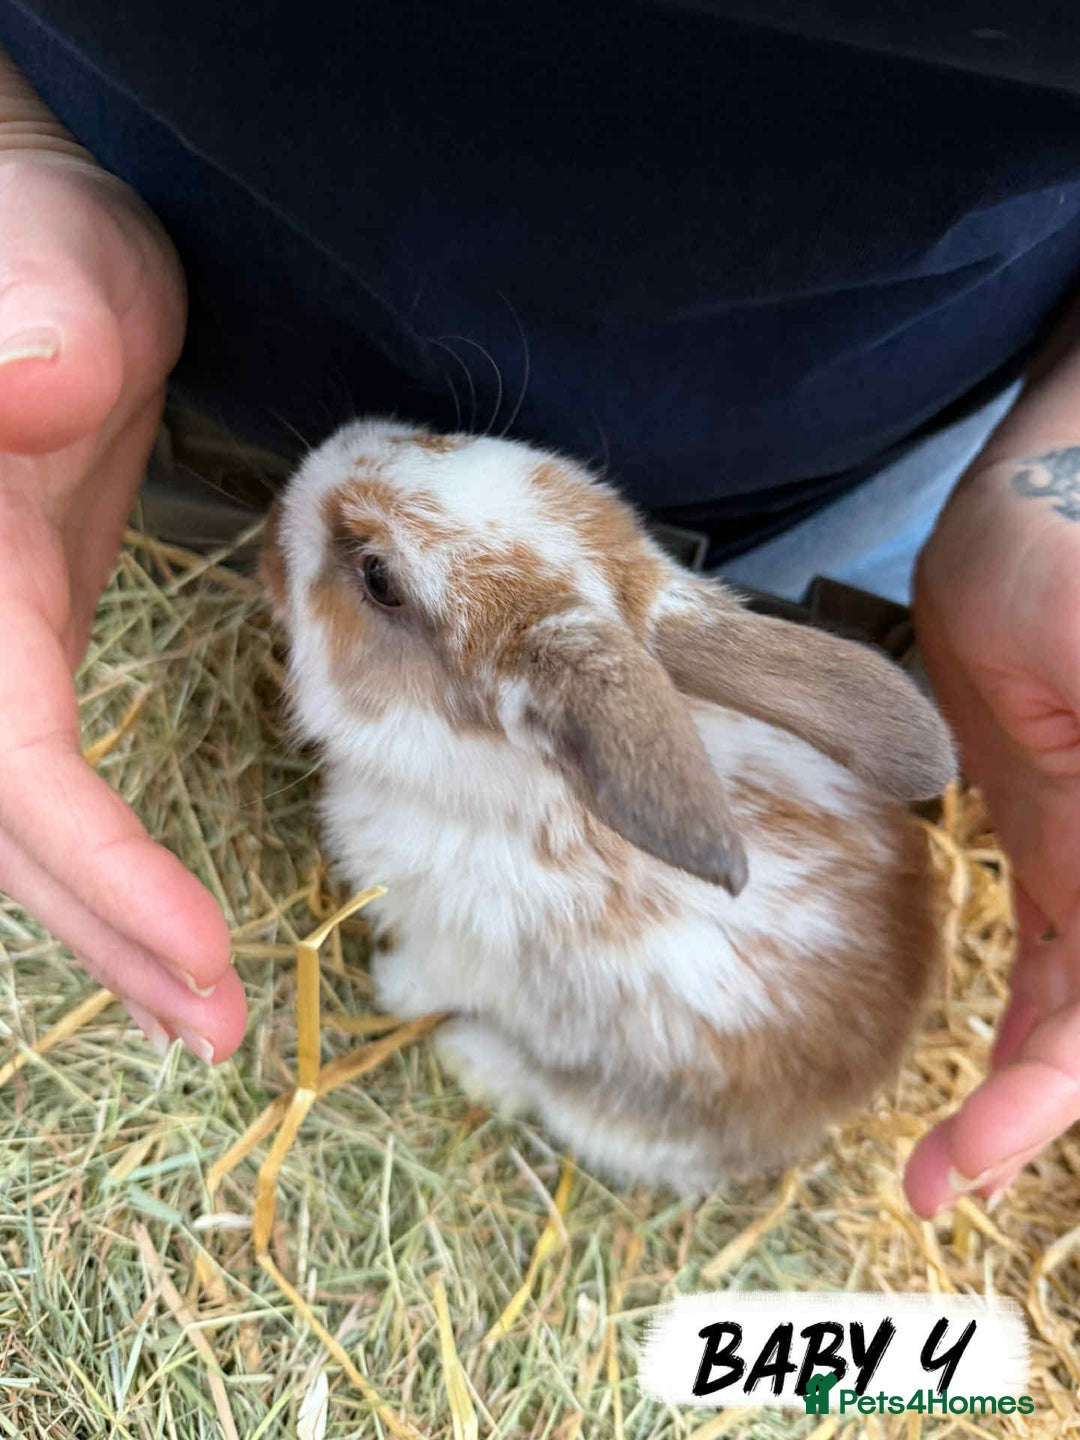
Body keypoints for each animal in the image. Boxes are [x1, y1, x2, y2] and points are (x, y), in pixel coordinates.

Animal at [261, 416, 954, 1192]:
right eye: (442, 439)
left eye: (380, 579)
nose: (288, 496)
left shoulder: (457, 946)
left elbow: (424, 982)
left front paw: (390, 987)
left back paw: (474, 1059)